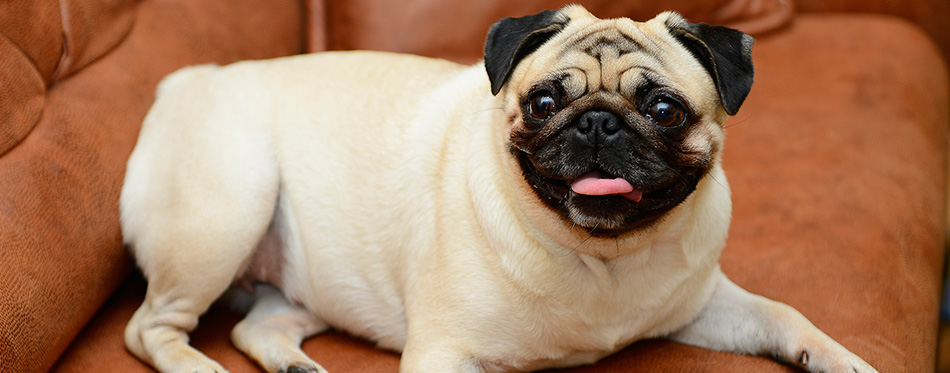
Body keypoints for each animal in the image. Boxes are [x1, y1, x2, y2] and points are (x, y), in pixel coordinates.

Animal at [122, 5, 880, 372]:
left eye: (665, 110)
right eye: (543, 102)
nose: (599, 122)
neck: (602, 260)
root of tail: (185, 81)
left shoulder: (702, 305)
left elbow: (783, 314)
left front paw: (839, 359)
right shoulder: (443, 354)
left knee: (258, 323)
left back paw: (295, 367)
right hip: (225, 215)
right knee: (149, 328)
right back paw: (200, 367)